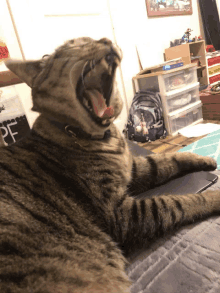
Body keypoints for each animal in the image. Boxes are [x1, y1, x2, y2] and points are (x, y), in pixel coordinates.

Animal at [1, 37, 220, 292]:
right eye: (75, 43)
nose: (105, 39)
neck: (105, 137)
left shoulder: (133, 169)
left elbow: (169, 159)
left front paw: (204, 160)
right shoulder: (121, 212)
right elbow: (179, 201)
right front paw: (215, 196)